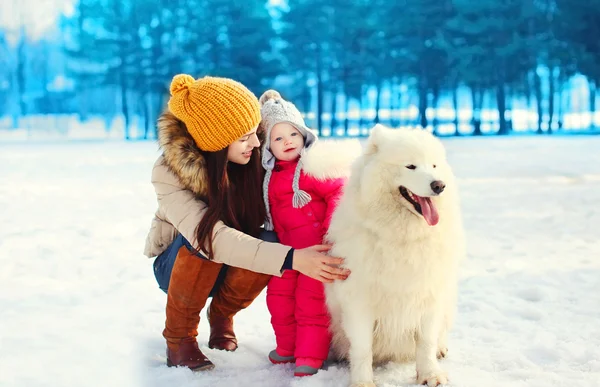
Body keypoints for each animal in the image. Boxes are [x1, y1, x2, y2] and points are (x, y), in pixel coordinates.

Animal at [326, 124, 466, 387]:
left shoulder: (428, 294)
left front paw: (430, 375)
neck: (403, 237)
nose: (439, 185)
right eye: (410, 166)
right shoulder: (359, 301)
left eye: (434, 165)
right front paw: (362, 382)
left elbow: (426, 342)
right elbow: (362, 349)